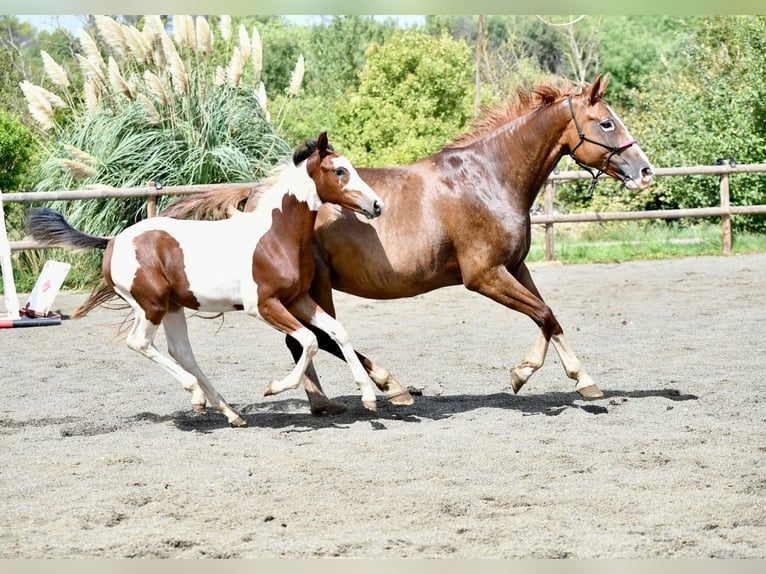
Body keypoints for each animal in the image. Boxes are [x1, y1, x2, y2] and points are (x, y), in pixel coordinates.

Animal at [24, 132, 385, 426]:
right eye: (339, 171)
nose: (377, 205)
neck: (276, 236)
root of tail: (113, 241)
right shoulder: (263, 305)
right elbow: (310, 341)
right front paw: (274, 387)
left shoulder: (297, 299)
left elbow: (337, 331)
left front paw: (369, 395)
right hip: (152, 305)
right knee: (140, 343)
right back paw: (197, 397)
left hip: (171, 307)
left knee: (181, 352)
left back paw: (229, 412)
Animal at [161, 74, 655, 415]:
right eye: (606, 123)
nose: (645, 171)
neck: (489, 177)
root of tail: (258, 196)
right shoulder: (485, 277)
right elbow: (545, 314)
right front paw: (538, 375)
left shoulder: (516, 268)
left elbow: (548, 318)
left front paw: (563, 376)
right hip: (313, 286)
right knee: (318, 339)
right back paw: (387, 387)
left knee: (305, 341)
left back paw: (329, 401)